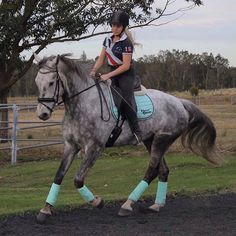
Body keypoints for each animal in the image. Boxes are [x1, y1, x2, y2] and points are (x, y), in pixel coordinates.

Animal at [33, 53, 221, 223]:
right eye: (36, 82)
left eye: (52, 82)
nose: (42, 114)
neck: (81, 103)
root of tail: (179, 102)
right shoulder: (71, 145)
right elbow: (59, 175)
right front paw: (45, 210)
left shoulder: (94, 147)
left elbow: (78, 180)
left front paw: (98, 202)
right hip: (150, 140)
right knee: (162, 171)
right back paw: (156, 206)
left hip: (162, 140)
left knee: (152, 170)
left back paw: (127, 205)